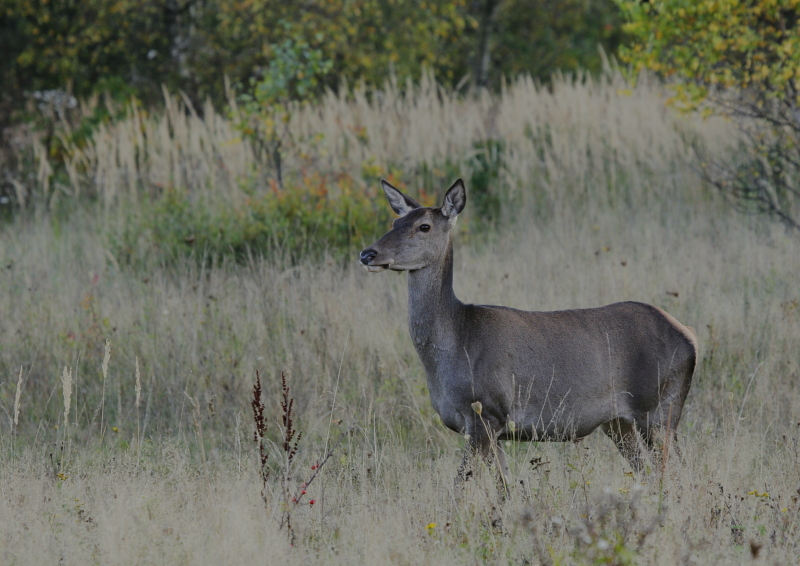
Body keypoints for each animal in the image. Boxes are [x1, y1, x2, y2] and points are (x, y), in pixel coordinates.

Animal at [360, 181, 696, 488]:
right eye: (395, 222)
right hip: (619, 422)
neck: (455, 343)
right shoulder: (492, 429)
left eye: (424, 226)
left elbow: (460, 486)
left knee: (678, 474)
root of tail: (689, 337)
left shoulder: (487, 413)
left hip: (659, 408)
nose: (368, 254)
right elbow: (507, 489)